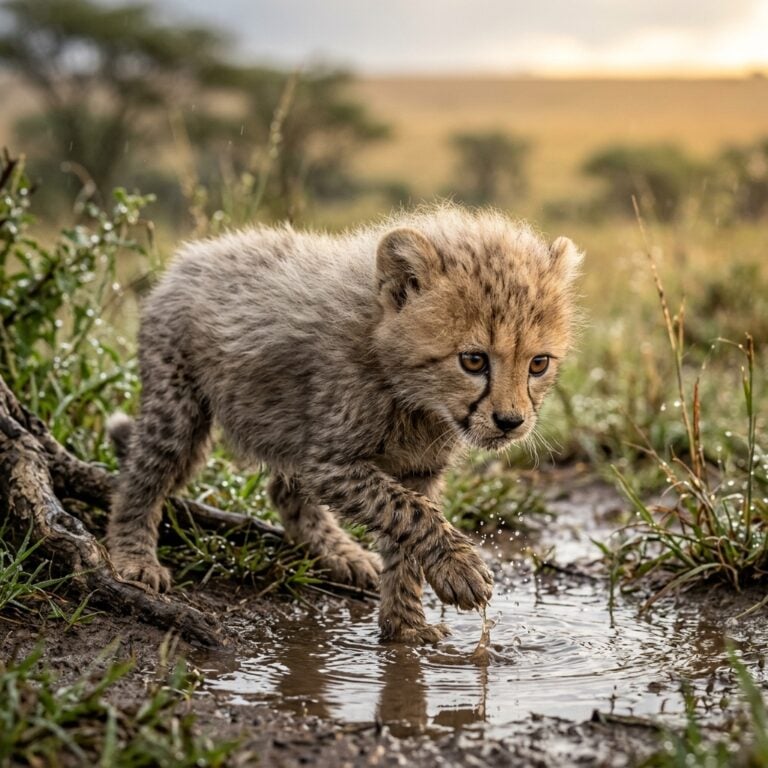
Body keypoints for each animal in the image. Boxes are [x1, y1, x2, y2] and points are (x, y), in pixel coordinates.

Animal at [107, 203, 583, 644]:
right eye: (473, 360)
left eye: (538, 364)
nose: (510, 422)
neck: (414, 396)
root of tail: (193, 254)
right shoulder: (332, 464)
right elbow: (412, 513)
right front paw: (459, 569)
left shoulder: (416, 467)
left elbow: (405, 534)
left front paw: (406, 627)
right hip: (177, 406)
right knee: (142, 476)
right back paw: (134, 558)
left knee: (283, 492)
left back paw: (341, 555)